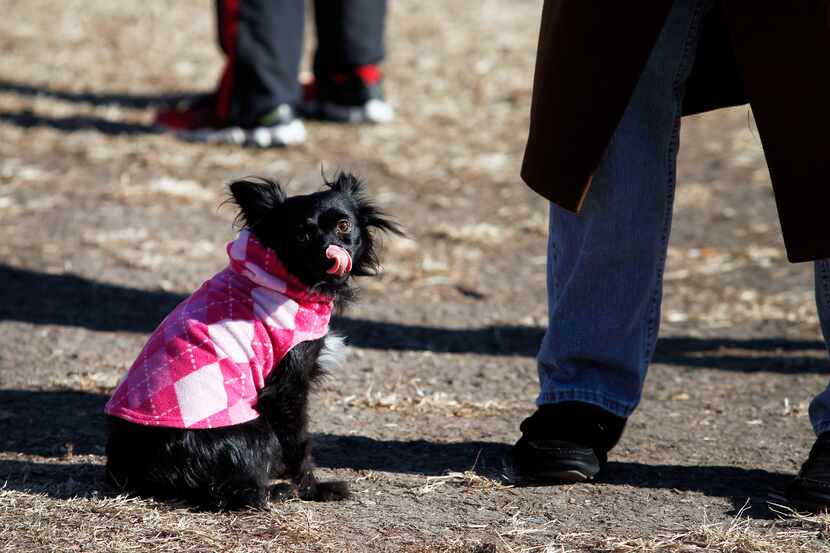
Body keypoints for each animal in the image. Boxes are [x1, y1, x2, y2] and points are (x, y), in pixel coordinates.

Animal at [104, 172, 404, 508]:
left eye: (343, 225)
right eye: (301, 235)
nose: (330, 252)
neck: (289, 279)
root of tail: (133, 468)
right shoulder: (288, 387)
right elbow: (298, 442)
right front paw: (312, 489)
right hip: (255, 431)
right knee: (232, 492)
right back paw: (276, 491)